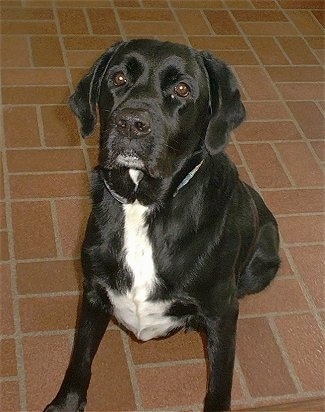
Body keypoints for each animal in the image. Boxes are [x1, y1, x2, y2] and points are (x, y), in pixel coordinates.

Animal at [44, 39, 280, 412]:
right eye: (118, 78)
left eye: (182, 89)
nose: (130, 124)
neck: (141, 204)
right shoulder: (93, 291)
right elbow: (80, 357)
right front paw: (66, 402)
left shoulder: (223, 313)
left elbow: (220, 384)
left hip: (262, 266)